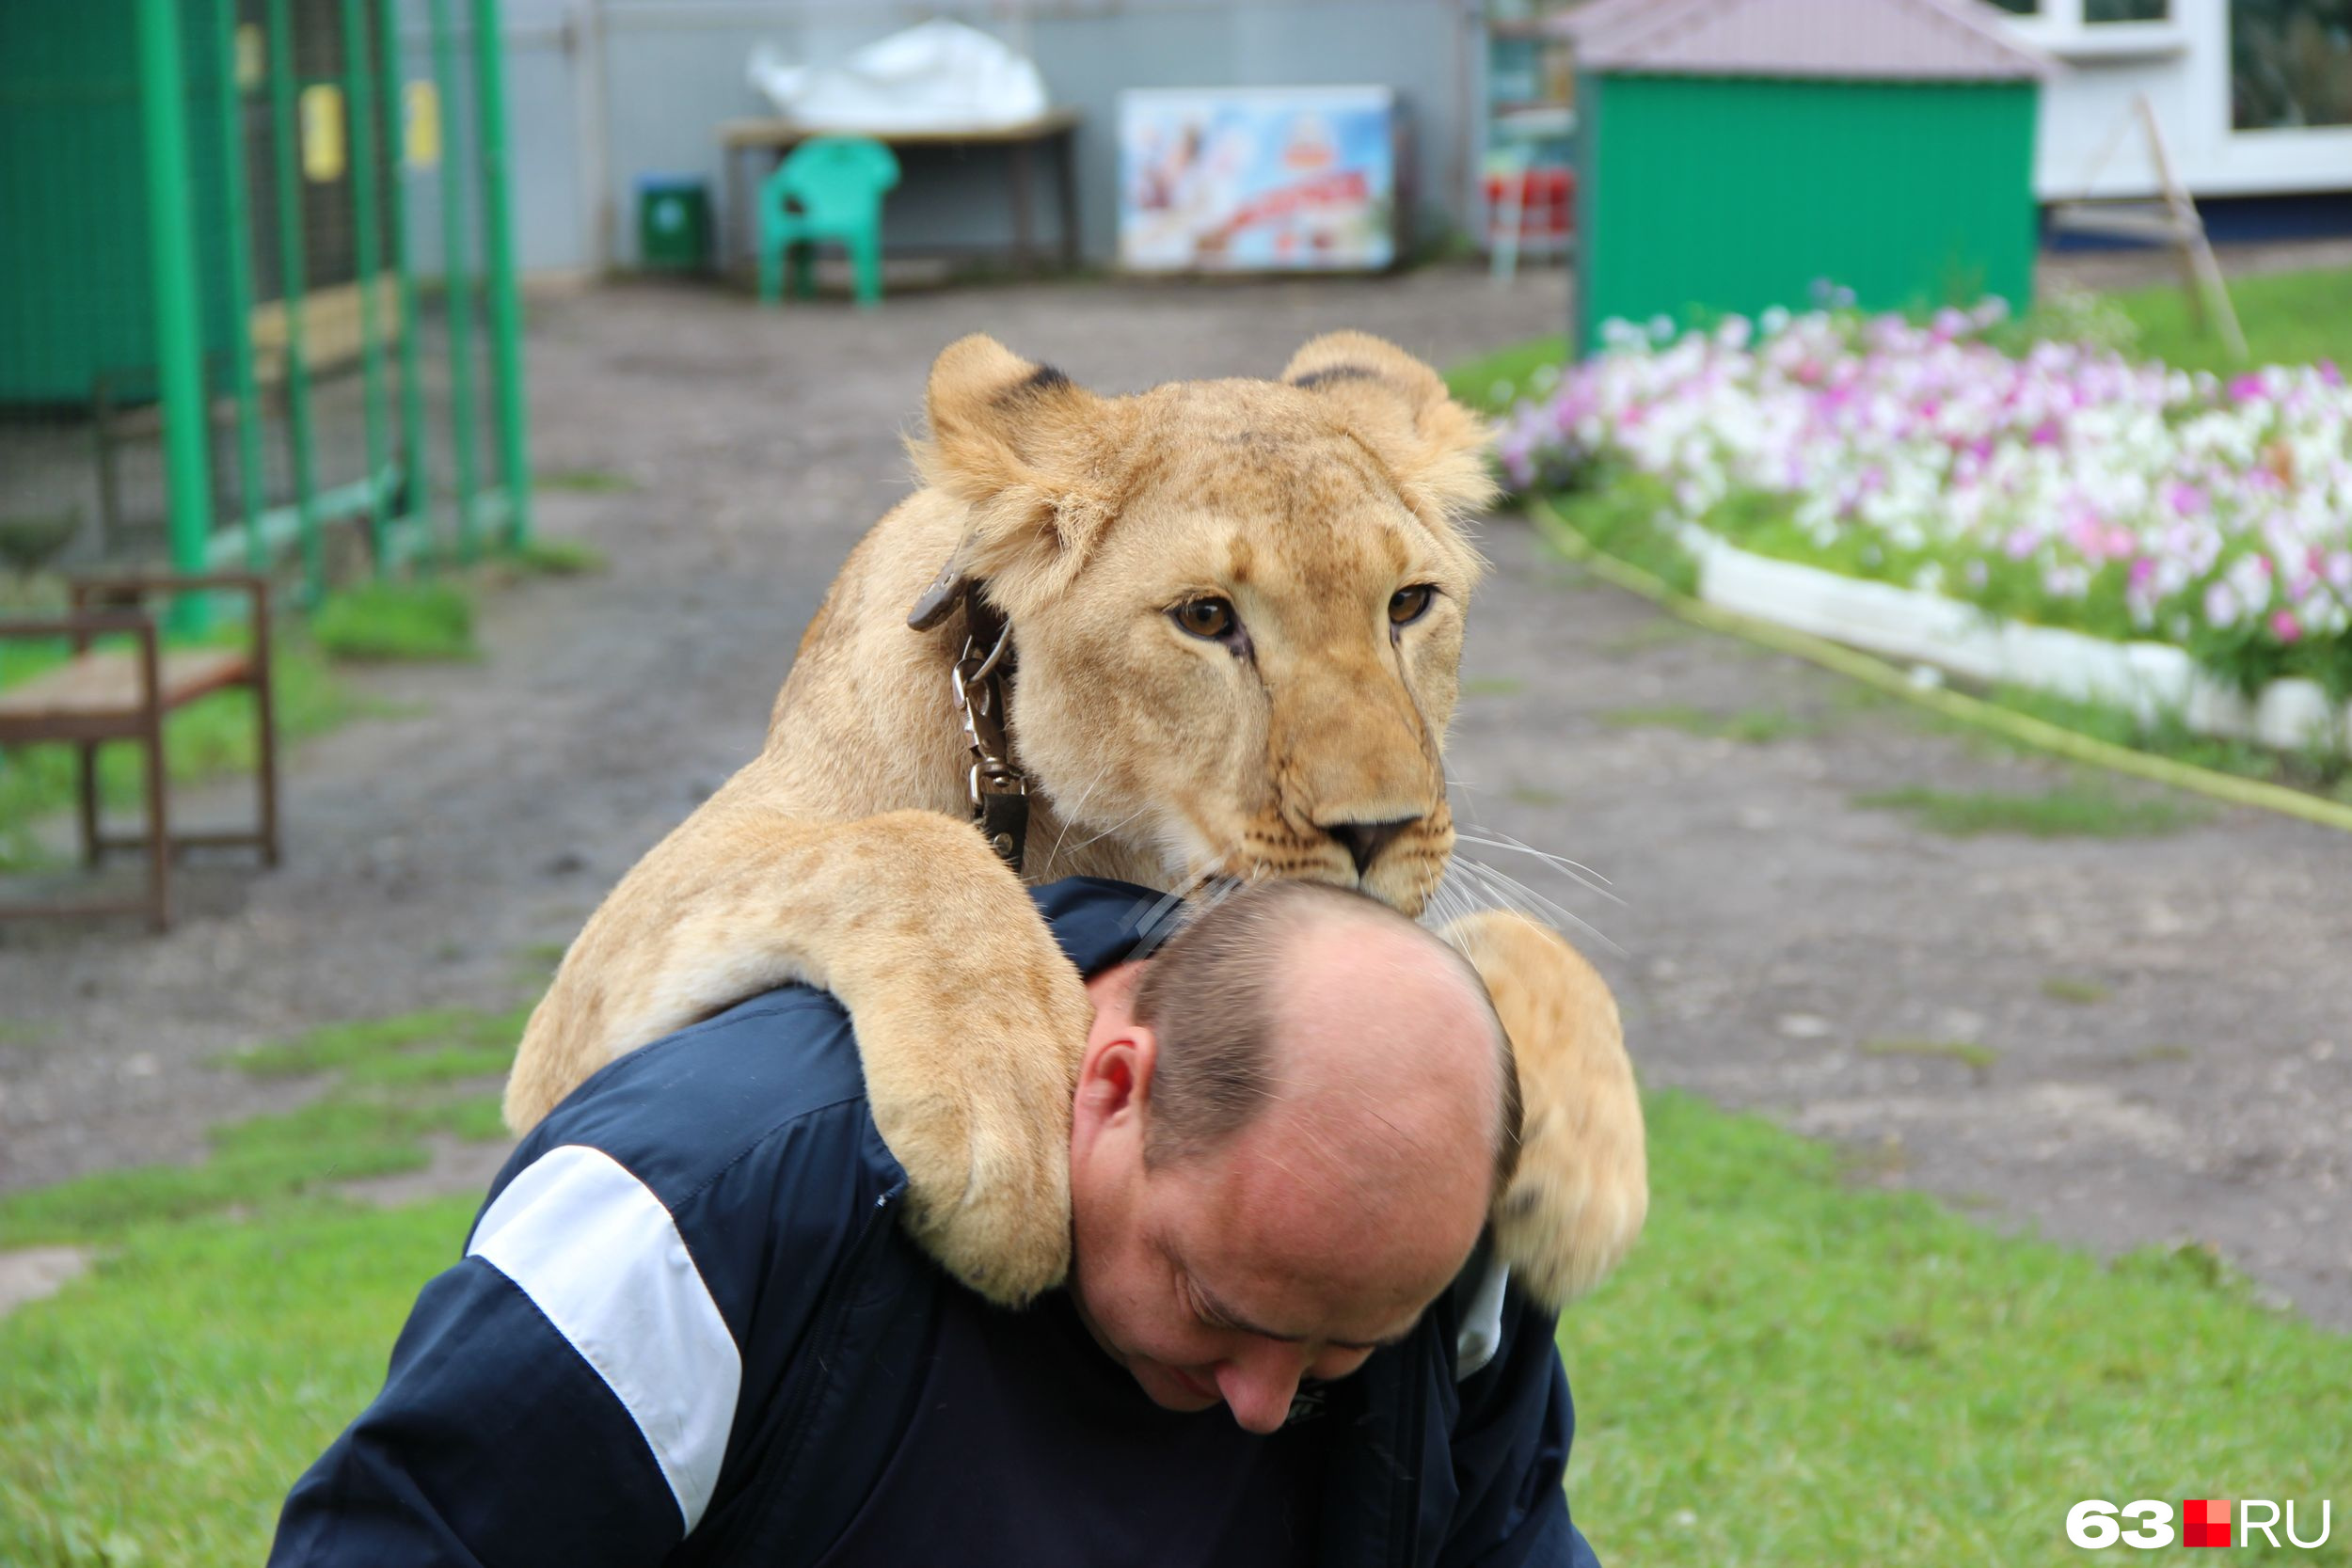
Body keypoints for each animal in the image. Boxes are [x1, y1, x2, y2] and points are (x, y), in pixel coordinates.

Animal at [505, 331, 1646, 1316]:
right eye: (1206, 617)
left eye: (1409, 602)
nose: (1378, 830)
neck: (1116, 839)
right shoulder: (560, 1048)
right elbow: (907, 847)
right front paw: (998, 1127)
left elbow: (1510, 937)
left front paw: (1584, 1177)